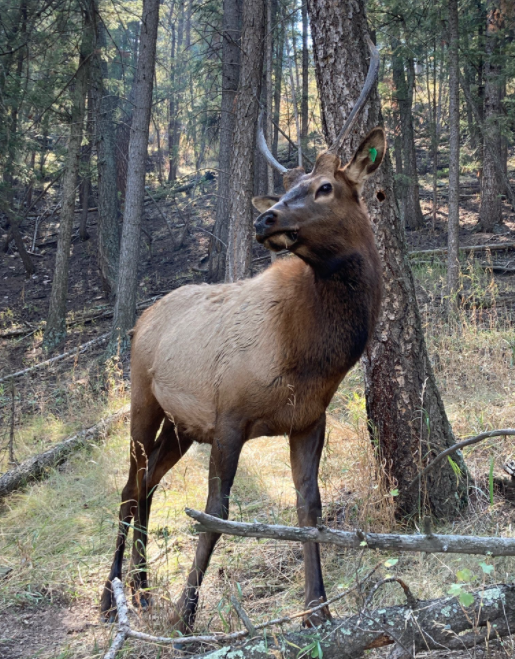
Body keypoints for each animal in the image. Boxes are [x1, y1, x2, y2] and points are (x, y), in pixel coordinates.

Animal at [101, 38, 385, 632]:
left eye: (325, 187)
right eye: (286, 188)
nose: (265, 218)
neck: (310, 354)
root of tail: (143, 318)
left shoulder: (309, 422)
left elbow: (309, 508)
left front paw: (318, 610)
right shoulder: (229, 415)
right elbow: (217, 513)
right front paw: (186, 614)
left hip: (182, 426)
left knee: (148, 484)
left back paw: (141, 589)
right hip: (144, 399)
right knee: (128, 486)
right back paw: (112, 594)